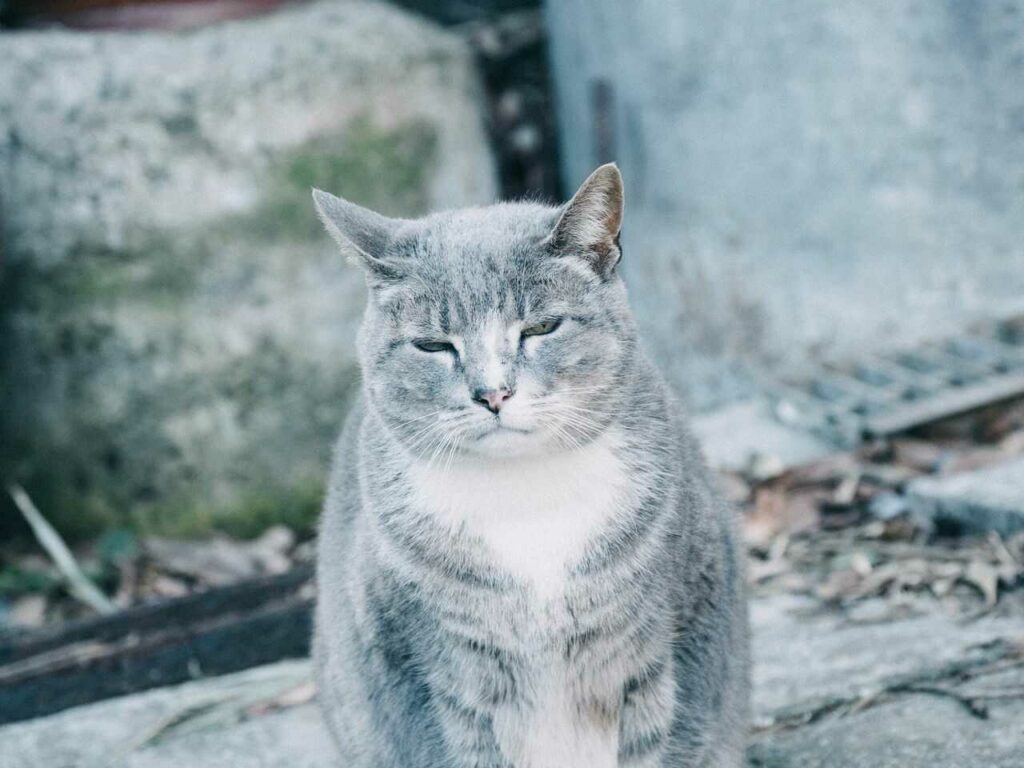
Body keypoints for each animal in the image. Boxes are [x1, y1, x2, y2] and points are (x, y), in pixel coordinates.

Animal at [307, 163, 749, 768]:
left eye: (541, 329)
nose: (493, 393)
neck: (525, 498)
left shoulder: (660, 652)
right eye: (432, 346)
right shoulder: (441, 680)